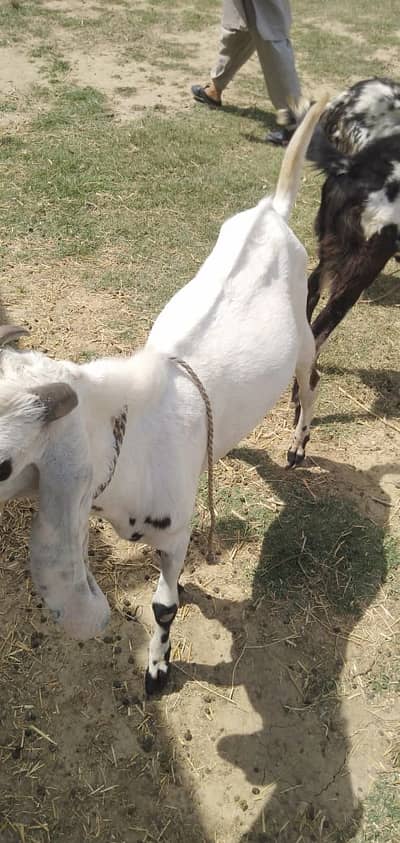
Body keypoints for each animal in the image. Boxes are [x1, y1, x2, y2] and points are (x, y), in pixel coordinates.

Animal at [0, 98, 326, 694]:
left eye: (3, 463)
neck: (131, 444)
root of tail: (272, 211)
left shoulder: (175, 532)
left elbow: (165, 606)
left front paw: (157, 668)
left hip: (304, 331)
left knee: (311, 380)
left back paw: (298, 446)